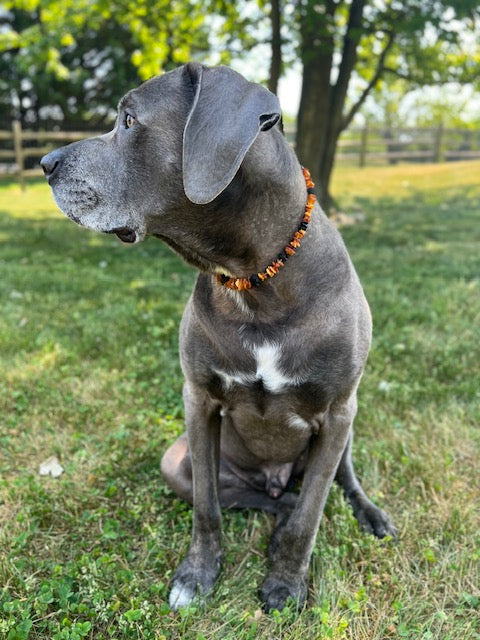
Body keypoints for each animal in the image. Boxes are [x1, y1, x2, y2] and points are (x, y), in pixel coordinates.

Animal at [41, 62, 396, 612]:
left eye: (128, 120)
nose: (44, 163)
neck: (253, 280)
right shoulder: (199, 400)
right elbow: (208, 506)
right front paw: (196, 575)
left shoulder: (338, 412)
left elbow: (312, 516)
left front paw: (286, 584)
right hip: (178, 460)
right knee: (259, 499)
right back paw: (278, 507)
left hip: (348, 431)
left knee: (337, 484)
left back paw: (367, 514)